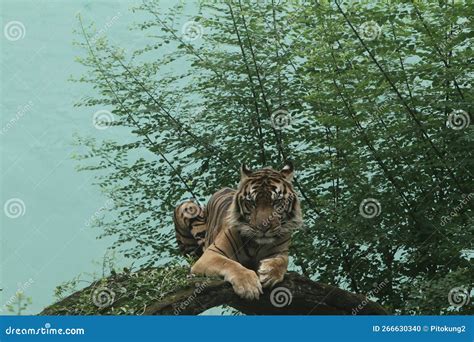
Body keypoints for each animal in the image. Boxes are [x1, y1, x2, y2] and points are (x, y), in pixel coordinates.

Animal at [172, 163, 302, 300]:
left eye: (276, 202)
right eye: (251, 202)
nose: (263, 227)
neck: (256, 245)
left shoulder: (280, 252)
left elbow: (282, 261)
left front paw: (268, 272)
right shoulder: (211, 254)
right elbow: (228, 263)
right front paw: (248, 285)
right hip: (188, 208)